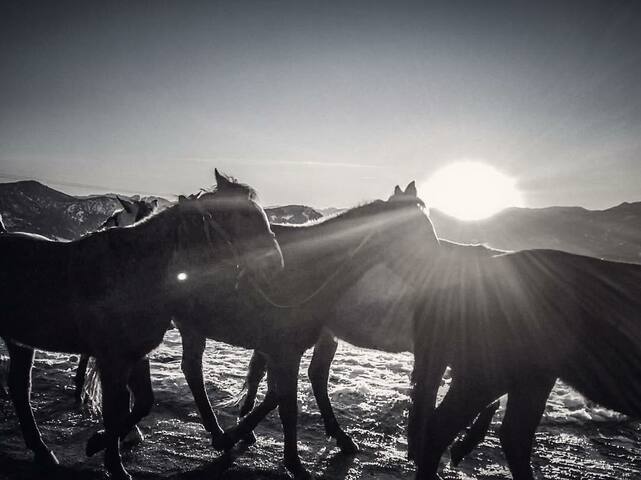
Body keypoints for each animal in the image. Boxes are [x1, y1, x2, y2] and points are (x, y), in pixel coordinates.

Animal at [0, 172, 282, 480]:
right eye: (241, 216)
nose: (276, 264)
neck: (134, 270)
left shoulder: (135, 356)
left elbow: (142, 403)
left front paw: (100, 442)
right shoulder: (113, 360)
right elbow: (115, 410)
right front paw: (114, 463)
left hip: (20, 342)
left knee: (19, 388)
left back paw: (42, 451)